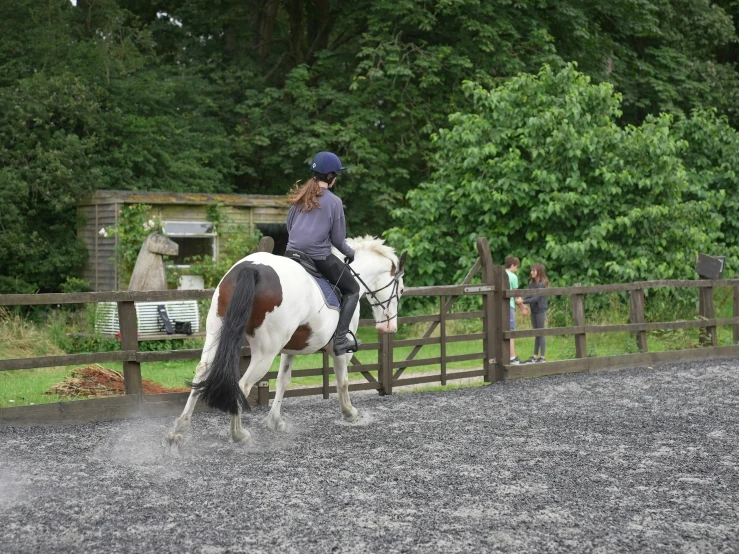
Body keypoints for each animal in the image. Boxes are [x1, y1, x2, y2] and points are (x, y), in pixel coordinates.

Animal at [165, 235, 408, 446]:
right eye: (401, 290)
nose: (389, 327)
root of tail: (253, 267)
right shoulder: (341, 351)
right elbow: (343, 382)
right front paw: (350, 413)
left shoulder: (289, 349)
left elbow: (283, 381)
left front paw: (275, 421)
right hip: (265, 352)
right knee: (243, 385)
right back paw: (238, 434)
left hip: (216, 333)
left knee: (202, 370)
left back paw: (179, 430)